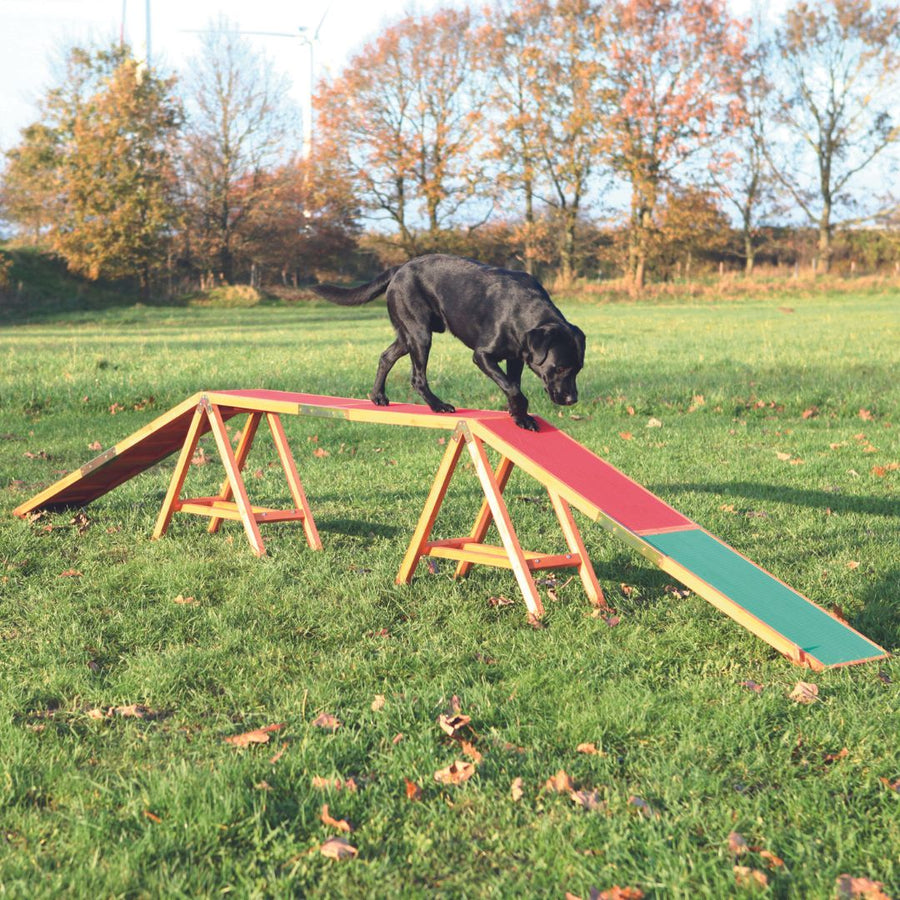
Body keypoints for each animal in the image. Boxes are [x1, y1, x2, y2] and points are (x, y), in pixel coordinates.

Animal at [312, 251, 588, 430]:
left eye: (578, 369)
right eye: (560, 368)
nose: (572, 400)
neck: (524, 311)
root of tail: (400, 267)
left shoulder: (515, 357)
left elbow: (514, 385)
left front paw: (519, 416)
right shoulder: (482, 355)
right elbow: (512, 387)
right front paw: (521, 414)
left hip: (408, 336)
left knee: (386, 357)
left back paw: (378, 396)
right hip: (420, 335)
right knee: (417, 377)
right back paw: (437, 405)